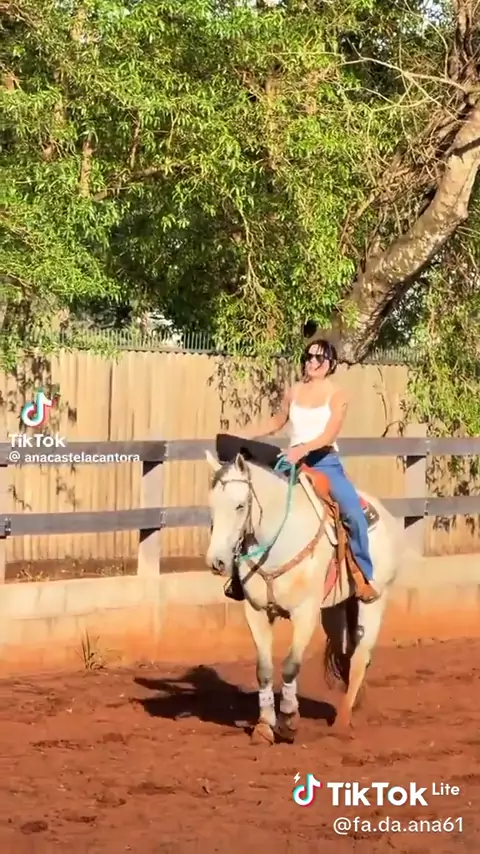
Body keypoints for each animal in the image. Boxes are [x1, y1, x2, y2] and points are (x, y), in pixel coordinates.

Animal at [205, 449, 403, 744]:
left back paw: (342, 722)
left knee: (359, 657)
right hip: (334, 610)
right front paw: (264, 726)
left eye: (240, 506)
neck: (278, 542)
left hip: (374, 602)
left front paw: (288, 721)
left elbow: (290, 665)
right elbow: (263, 670)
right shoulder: (256, 611)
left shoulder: (305, 612)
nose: (216, 562)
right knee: (345, 651)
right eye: (212, 505)